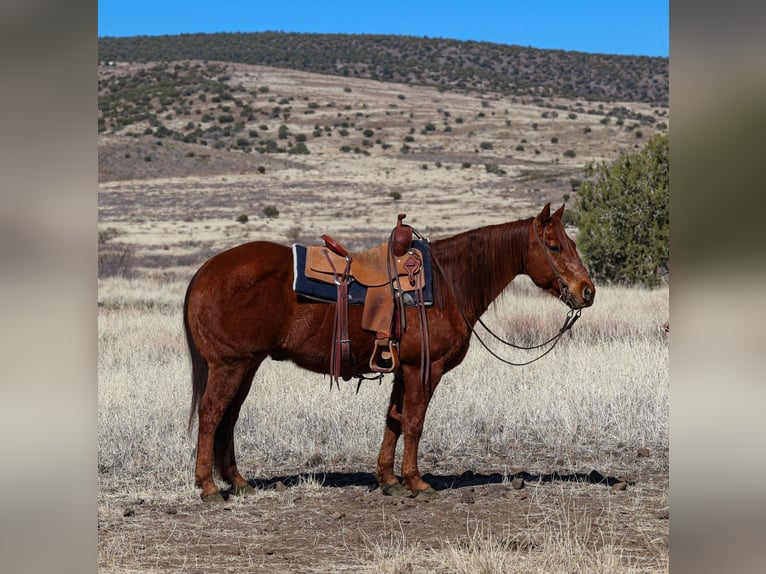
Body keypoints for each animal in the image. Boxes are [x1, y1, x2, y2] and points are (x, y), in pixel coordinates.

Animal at [183, 205, 596, 502]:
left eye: (574, 245)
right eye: (555, 247)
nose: (587, 291)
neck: (449, 282)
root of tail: (205, 270)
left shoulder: (400, 369)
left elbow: (393, 421)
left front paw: (388, 479)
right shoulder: (423, 370)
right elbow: (414, 422)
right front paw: (416, 481)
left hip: (246, 366)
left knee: (229, 418)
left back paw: (238, 482)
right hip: (230, 366)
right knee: (212, 414)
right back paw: (208, 487)